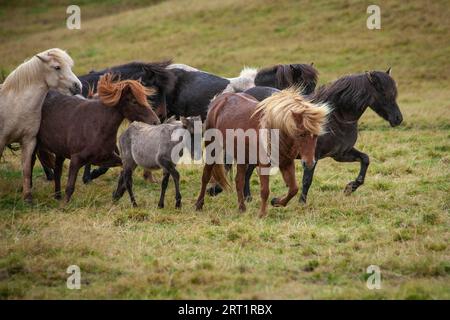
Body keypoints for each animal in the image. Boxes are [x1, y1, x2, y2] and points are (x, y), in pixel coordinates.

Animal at [0, 48, 81, 202]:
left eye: (70, 66)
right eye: (57, 67)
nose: (78, 86)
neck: (15, 105)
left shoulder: (29, 141)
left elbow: (26, 169)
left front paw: (28, 198)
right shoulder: (1, 142)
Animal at [36, 74, 161, 202]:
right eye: (134, 101)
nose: (156, 122)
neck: (97, 126)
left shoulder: (106, 158)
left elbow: (122, 170)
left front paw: (117, 193)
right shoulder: (76, 160)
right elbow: (70, 187)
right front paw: (65, 204)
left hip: (60, 151)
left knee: (57, 170)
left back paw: (57, 196)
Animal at [195, 90, 328, 218]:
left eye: (316, 135)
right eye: (301, 134)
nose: (309, 163)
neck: (276, 133)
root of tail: (218, 100)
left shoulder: (287, 163)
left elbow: (293, 189)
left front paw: (276, 202)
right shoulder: (264, 165)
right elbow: (265, 191)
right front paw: (262, 214)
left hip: (242, 157)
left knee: (239, 181)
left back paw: (242, 208)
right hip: (212, 148)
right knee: (206, 176)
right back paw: (199, 204)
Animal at [239, 67, 404, 202]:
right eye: (384, 93)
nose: (398, 119)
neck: (335, 118)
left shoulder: (340, 154)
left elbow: (365, 159)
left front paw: (350, 187)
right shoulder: (313, 156)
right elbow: (307, 179)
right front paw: (301, 203)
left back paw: (247, 197)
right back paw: (246, 197)